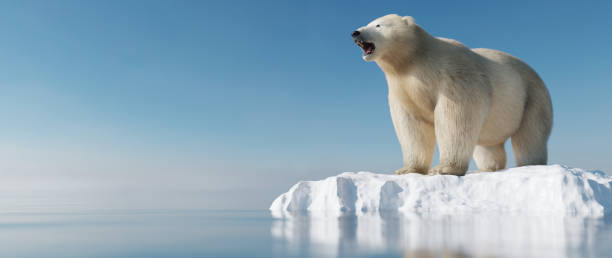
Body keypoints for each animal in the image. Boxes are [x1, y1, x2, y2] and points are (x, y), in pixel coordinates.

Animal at [352, 14, 552, 175]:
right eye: (368, 22)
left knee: (530, 136)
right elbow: (412, 126)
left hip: (532, 96)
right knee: (488, 145)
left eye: (378, 25)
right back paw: (487, 168)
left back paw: (530, 164)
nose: (355, 33)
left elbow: (455, 118)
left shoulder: (455, 77)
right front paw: (407, 169)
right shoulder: (403, 91)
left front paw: (443, 168)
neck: (415, 60)